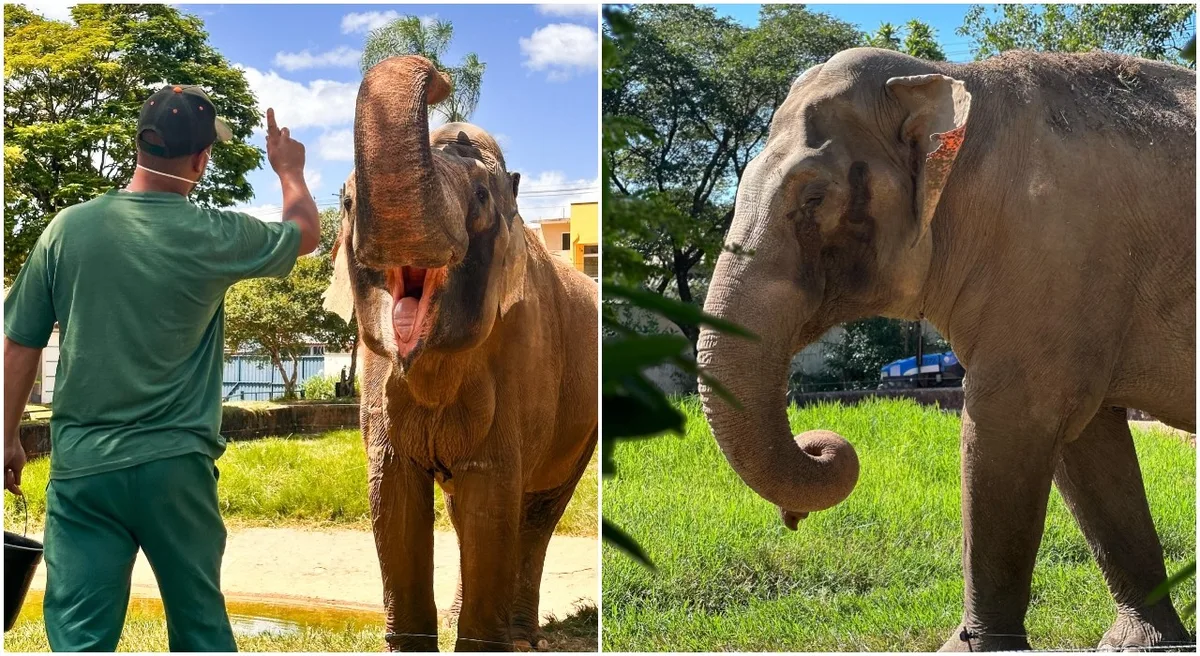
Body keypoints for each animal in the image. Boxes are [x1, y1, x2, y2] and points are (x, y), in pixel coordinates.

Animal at [324, 56, 598, 652]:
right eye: (349, 201)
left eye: (480, 199)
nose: (442, 78)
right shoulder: (378, 379)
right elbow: (392, 495)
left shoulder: (524, 354)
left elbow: (492, 493)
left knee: (536, 513)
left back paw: (522, 634)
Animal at [697, 47, 1195, 651]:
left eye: (813, 197)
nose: (791, 517)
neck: (950, 78)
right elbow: (1088, 447)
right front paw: (1143, 643)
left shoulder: (1052, 257)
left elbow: (1006, 429)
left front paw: (974, 645)